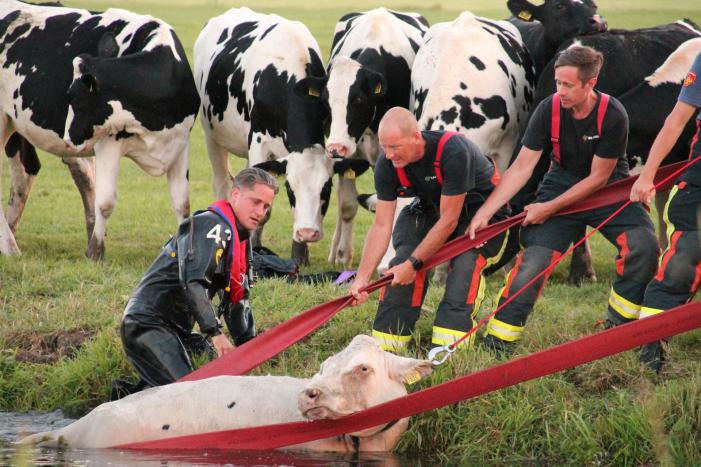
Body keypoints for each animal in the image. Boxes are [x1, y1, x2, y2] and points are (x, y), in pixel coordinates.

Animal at [0, 1, 200, 260]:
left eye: (76, 99)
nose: (68, 139)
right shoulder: (109, 143)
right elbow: (105, 203)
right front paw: (95, 252)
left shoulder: (180, 142)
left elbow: (182, 205)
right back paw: (10, 247)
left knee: (25, 173)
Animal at [194, 7, 369, 265]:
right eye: (290, 189)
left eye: (326, 188)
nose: (308, 232)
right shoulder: (258, 141)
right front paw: (253, 247)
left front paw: (300, 254)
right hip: (212, 136)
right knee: (222, 183)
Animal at [294, 8, 428, 268]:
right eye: (325, 102)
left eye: (358, 99)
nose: (335, 147)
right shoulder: (348, 157)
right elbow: (347, 205)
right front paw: (343, 255)